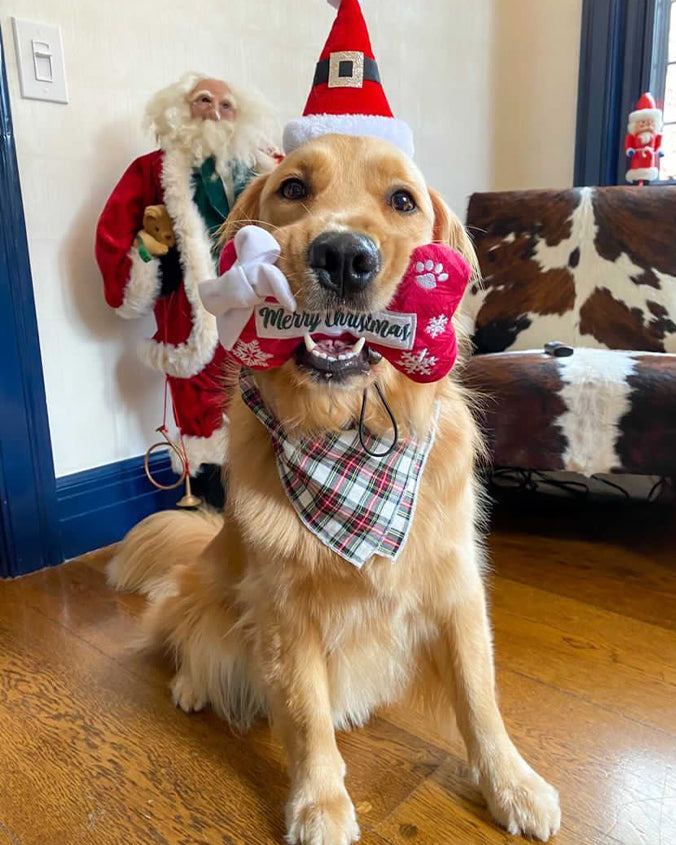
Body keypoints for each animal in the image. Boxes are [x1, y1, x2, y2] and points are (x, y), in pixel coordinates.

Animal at [109, 135, 560, 840]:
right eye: (293, 188)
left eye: (402, 200)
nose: (345, 256)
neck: (351, 433)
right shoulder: (287, 612)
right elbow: (308, 715)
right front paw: (319, 803)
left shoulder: (455, 586)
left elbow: (479, 698)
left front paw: (512, 784)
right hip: (205, 594)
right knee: (180, 630)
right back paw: (190, 685)